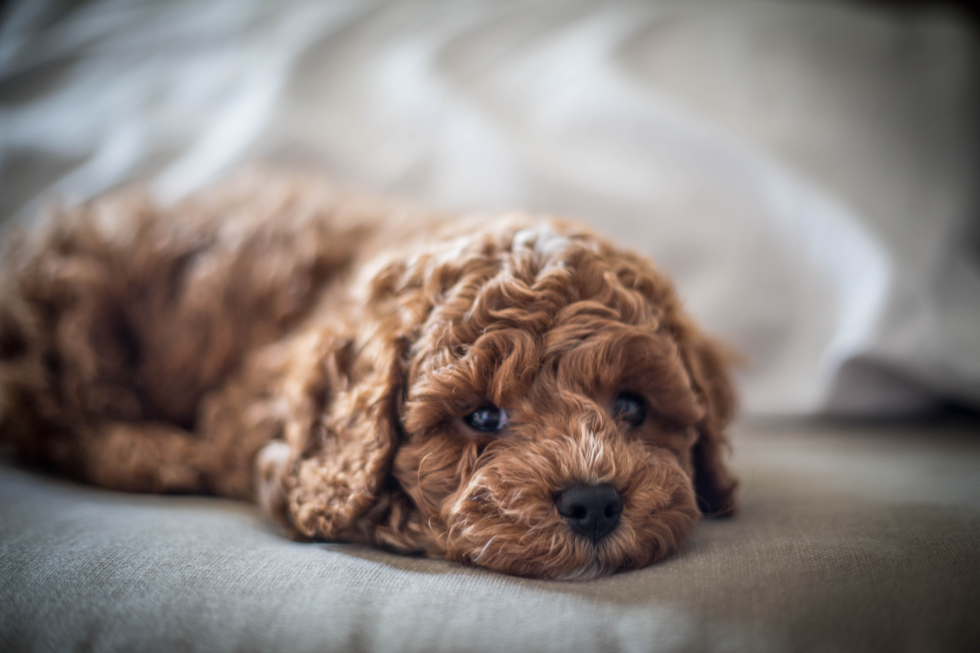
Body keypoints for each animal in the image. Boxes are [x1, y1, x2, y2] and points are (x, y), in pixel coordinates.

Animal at [0, 172, 736, 576]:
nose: (594, 502)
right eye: (483, 416)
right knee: (57, 412)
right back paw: (157, 451)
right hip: (72, 312)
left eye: (633, 407)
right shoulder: (267, 437)